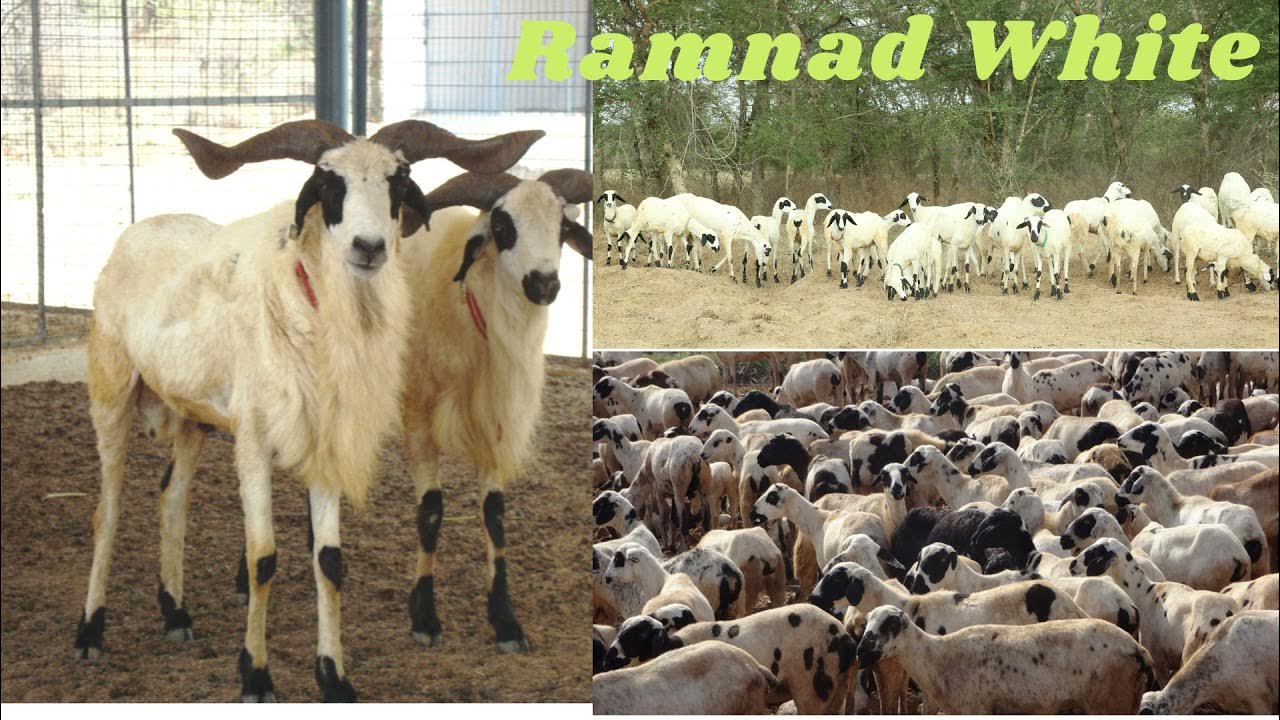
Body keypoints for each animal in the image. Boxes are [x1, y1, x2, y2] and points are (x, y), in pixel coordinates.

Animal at [75, 119, 545, 699]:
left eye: (398, 180)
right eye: (327, 183)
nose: (369, 247)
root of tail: (138, 231)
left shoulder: (326, 444)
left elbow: (330, 561)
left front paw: (334, 677)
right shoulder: (253, 441)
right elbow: (263, 559)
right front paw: (255, 676)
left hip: (191, 415)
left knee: (172, 498)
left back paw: (176, 615)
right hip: (111, 390)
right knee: (108, 511)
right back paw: (90, 631)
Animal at [854, 606, 1156, 714]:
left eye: (890, 624)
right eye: (867, 623)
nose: (861, 652)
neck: (938, 657)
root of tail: (1139, 650)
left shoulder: (975, 709)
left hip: (1110, 701)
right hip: (1127, 700)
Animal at [1069, 537, 1240, 681]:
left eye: (1094, 551)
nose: (1072, 565)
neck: (1145, 593)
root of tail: (1226, 614)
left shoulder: (1158, 658)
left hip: (1191, 652)